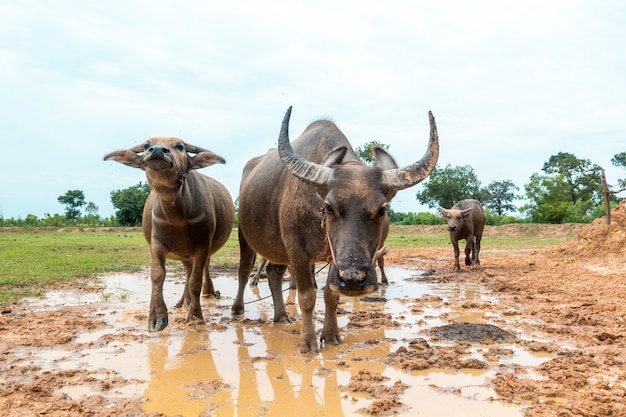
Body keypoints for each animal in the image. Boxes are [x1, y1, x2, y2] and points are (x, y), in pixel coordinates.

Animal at [103, 138, 233, 330]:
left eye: (180, 146)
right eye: (146, 145)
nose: (157, 150)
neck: (176, 218)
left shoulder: (203, 246)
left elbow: (195, 282)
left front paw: (195, 317)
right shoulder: (157, 244)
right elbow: (157, 275)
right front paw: (157, 316)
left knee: (199, 271)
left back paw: (207, 294)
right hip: (184, 254)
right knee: (187, 272)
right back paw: (183, 302)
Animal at [230, 106, 438, 352]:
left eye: (381, 210)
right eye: (329, 207)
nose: (353, 279)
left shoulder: (333, 258)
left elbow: (331, 295)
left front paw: (330, 336)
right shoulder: (297, 252)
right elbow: (307, 297)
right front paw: (308, 343)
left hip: (279, 249)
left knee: (273, 273)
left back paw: (281, 316)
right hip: (245, 236)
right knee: (244, 271)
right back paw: (237, 310)